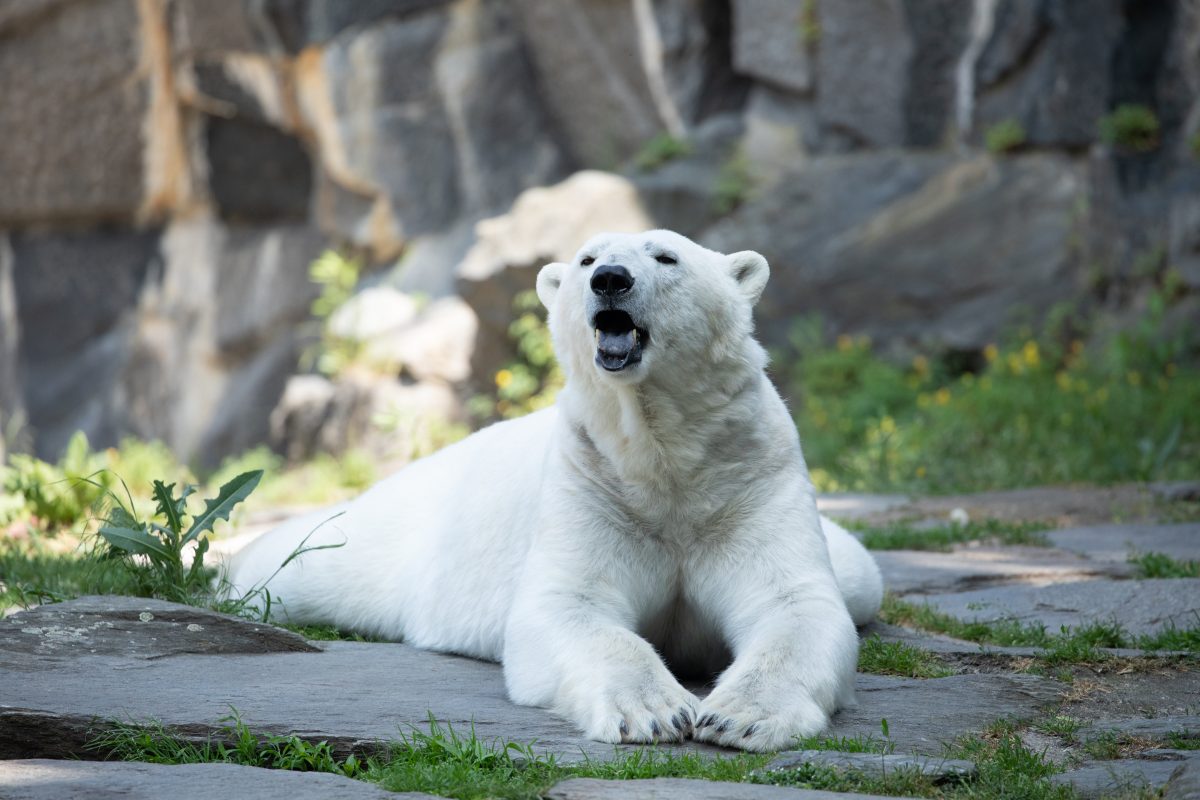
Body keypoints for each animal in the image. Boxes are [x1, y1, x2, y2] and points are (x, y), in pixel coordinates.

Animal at [226, 230, 883, 753]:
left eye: (666, 256)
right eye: (587, 256)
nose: (610, 279)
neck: (663, 457)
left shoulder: (748, 479)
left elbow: (795, 602)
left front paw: (739, 719)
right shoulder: (591, 479)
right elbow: (570, 604)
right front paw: (655, 712)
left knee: (859, 576)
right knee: (304, 559)